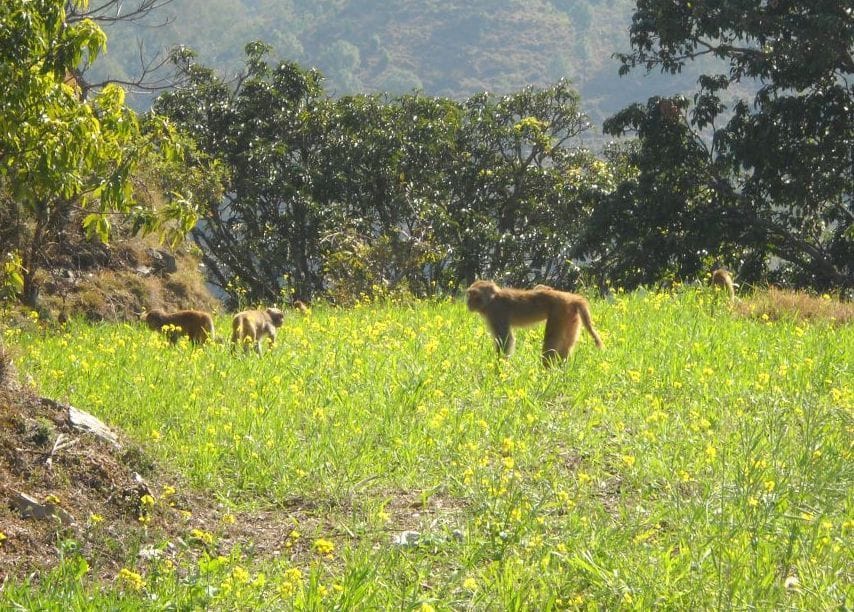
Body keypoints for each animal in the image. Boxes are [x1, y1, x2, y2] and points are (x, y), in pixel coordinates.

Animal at [466, 280, 603, 367]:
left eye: (474, 294)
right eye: (469, 294)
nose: (468, 302)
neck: (491, 300)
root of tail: (572, 298)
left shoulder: (496, 313)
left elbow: (506, 340)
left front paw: (498, 370)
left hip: (560, 313)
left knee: (551, 342)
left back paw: (545, 372)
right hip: (570, 317)